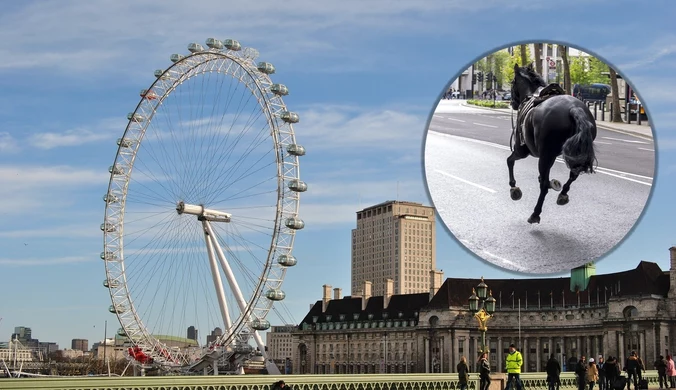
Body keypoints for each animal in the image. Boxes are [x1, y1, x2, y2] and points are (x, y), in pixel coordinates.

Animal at [508, 63, 596, 222]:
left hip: (543, 156)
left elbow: (509, 161)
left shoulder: (522, 150)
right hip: (573, 153)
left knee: (543, 186)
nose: (512, 103)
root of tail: (574, 108)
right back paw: (563, 194)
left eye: (512, 82)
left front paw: (514, 188)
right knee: (573, 174)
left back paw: (535, 213)